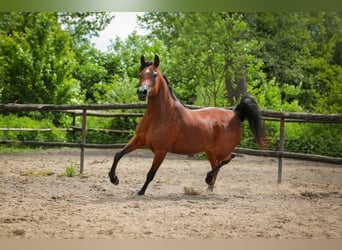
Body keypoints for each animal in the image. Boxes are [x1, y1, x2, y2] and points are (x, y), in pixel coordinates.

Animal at [108, 54, 266, 195]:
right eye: (140, 74)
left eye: (154, 74)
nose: (142, 92)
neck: (159, 116)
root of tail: (235, 114)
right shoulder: (139, 139)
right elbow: (118, 154)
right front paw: (114, 179)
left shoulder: (161, 150)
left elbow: (151, 173)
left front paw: (141, 191)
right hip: (209, 151)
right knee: (216, 164)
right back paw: (209, 188)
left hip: (221, 150)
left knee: (228, 158)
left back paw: (208, 179)